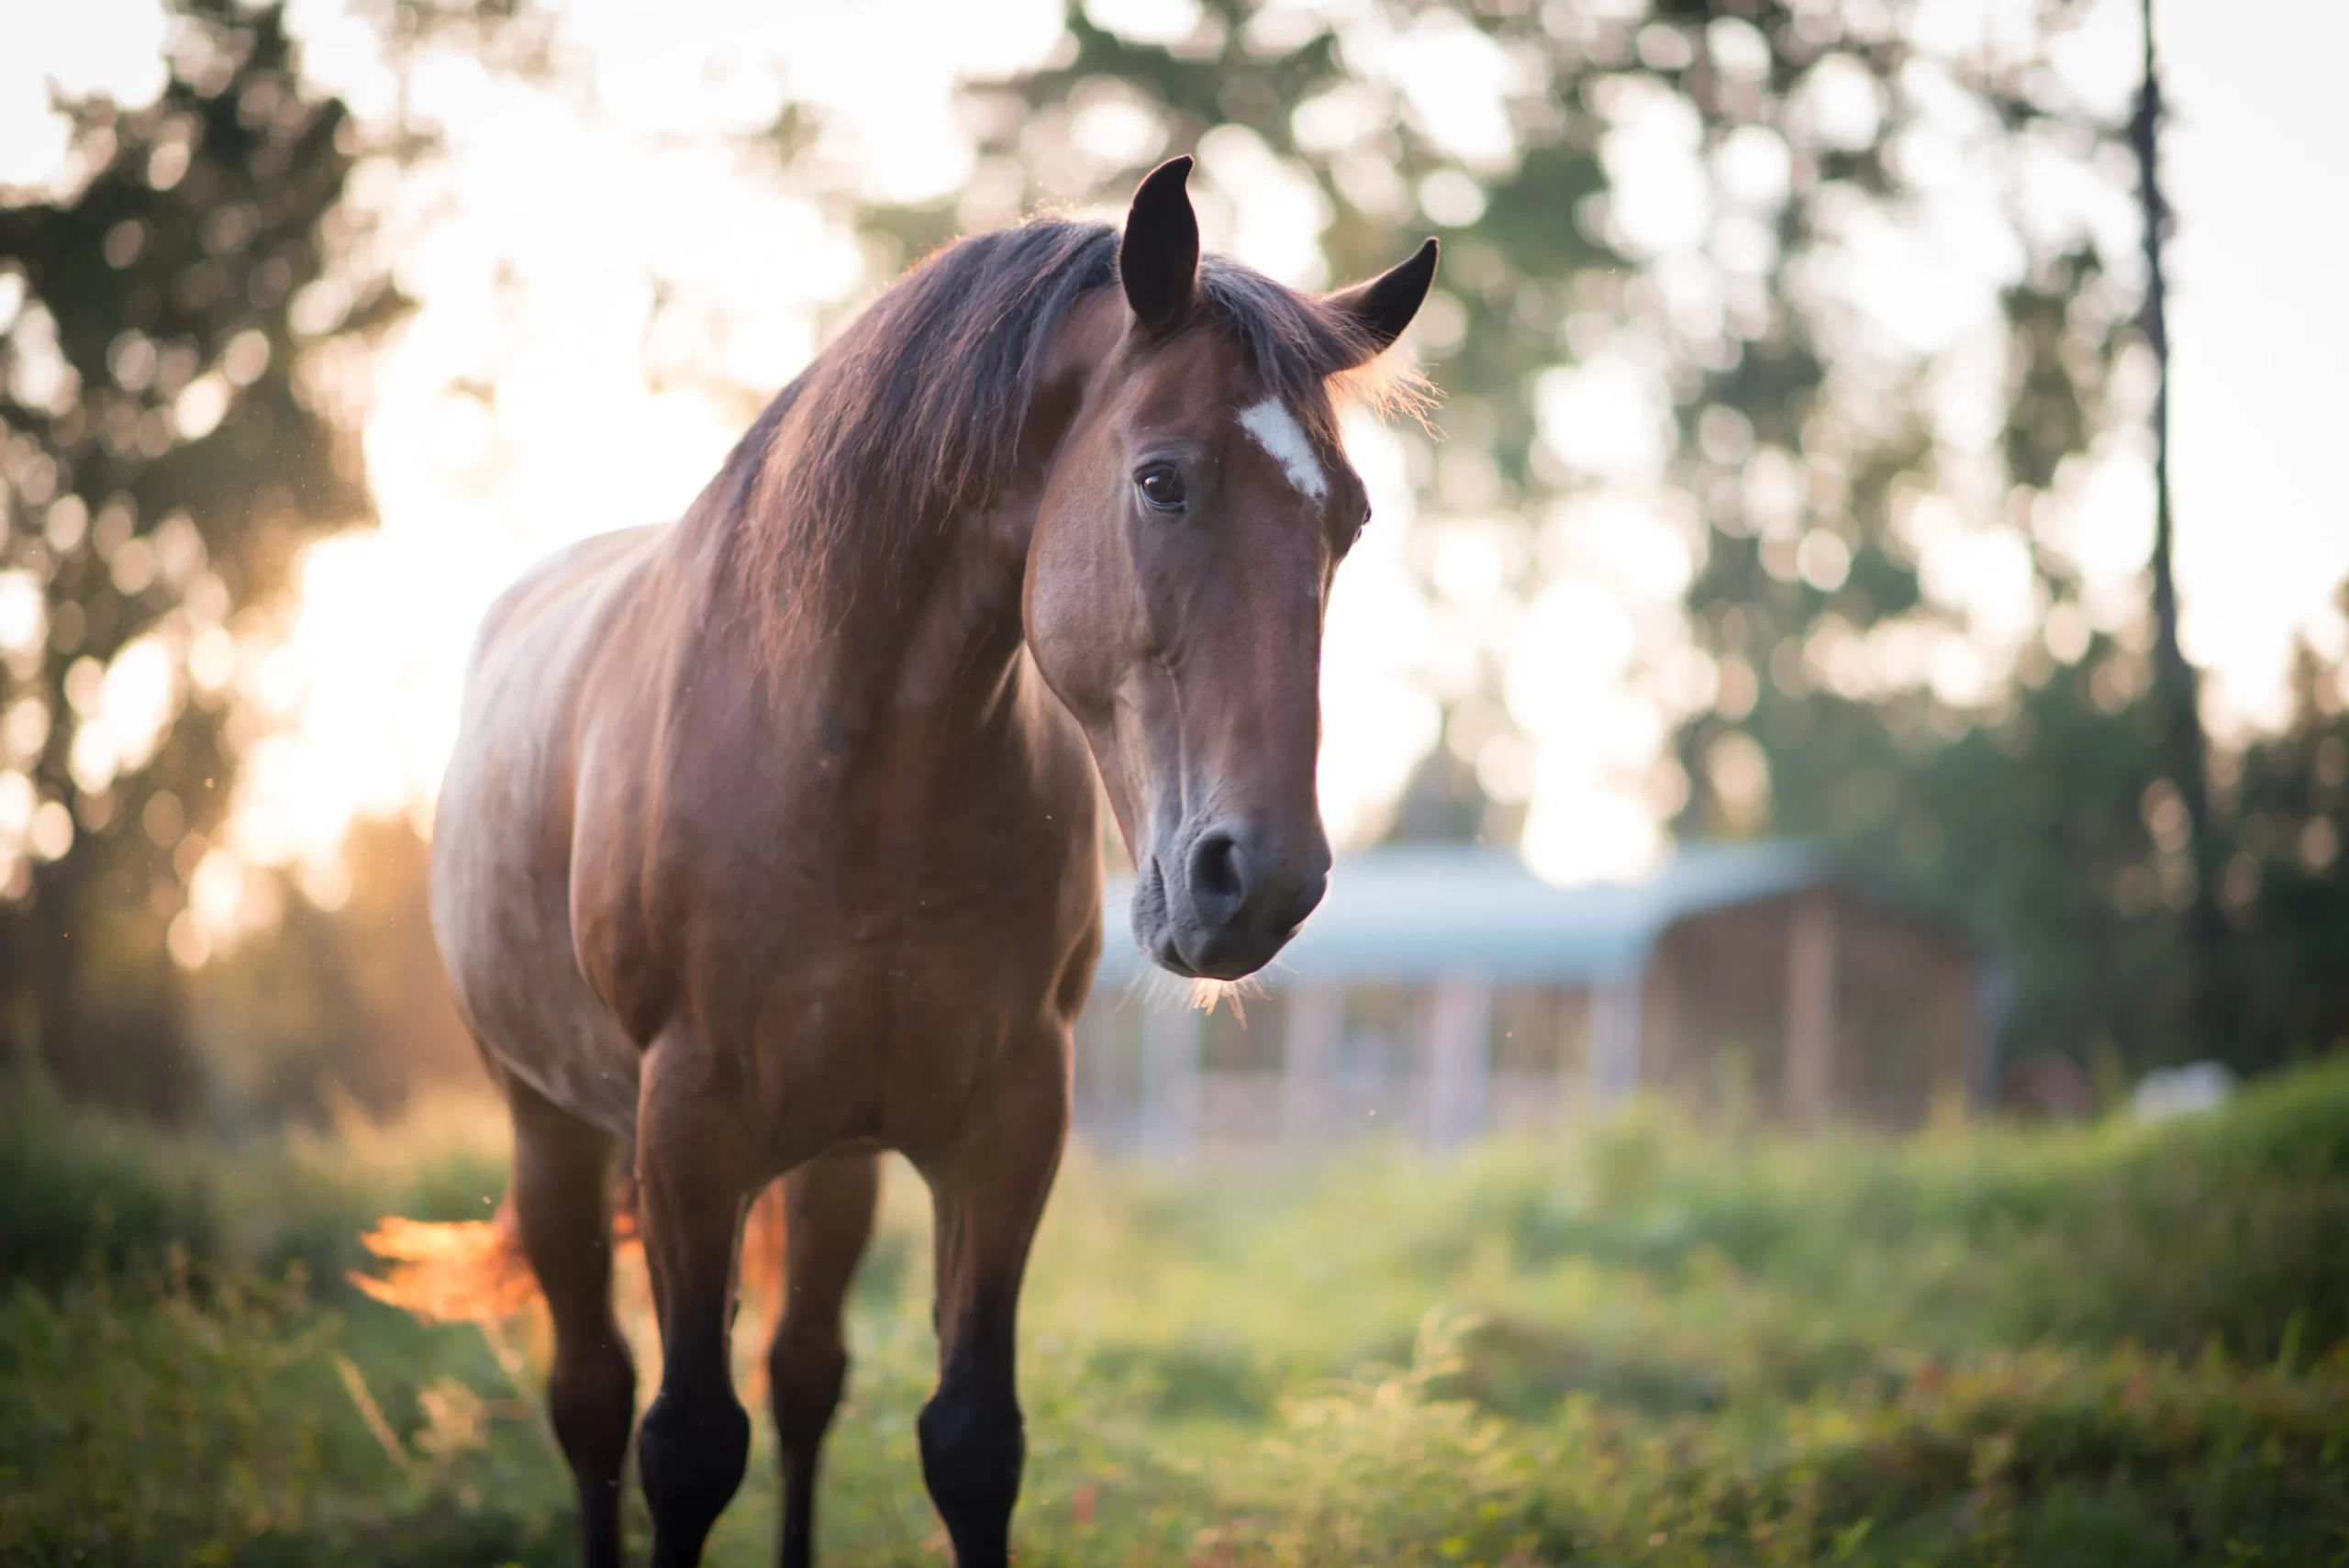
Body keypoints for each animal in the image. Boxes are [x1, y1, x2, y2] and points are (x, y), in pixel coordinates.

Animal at [432, 161, 1437, 1568]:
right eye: (1162, 481)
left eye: (1346, 519)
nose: (1259, 880)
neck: (855, 777)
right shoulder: (687, 1126)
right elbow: (686, 1446)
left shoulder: (1010, 1119)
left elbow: (968, 1439)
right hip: (553, 1132)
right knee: (593, 1397)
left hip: (833, 1157)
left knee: (804, 1375)